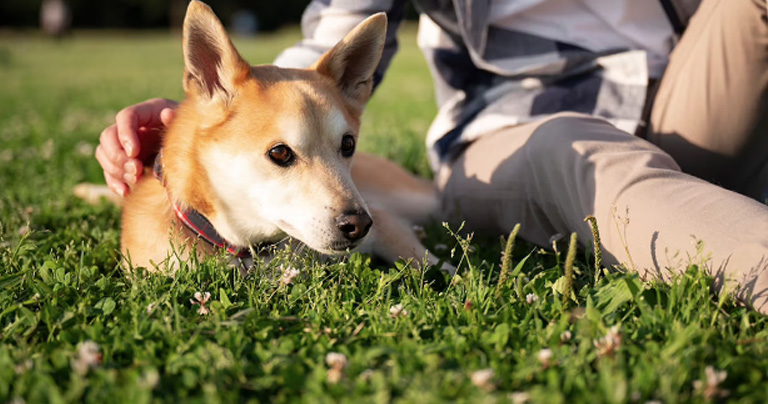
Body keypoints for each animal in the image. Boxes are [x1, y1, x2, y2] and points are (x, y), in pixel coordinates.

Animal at [76, 0, 452, 274]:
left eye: (348, 145)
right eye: (280, 153)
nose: (358, 224)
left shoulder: (386, 222)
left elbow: (429, 262)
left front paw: (452, 277)